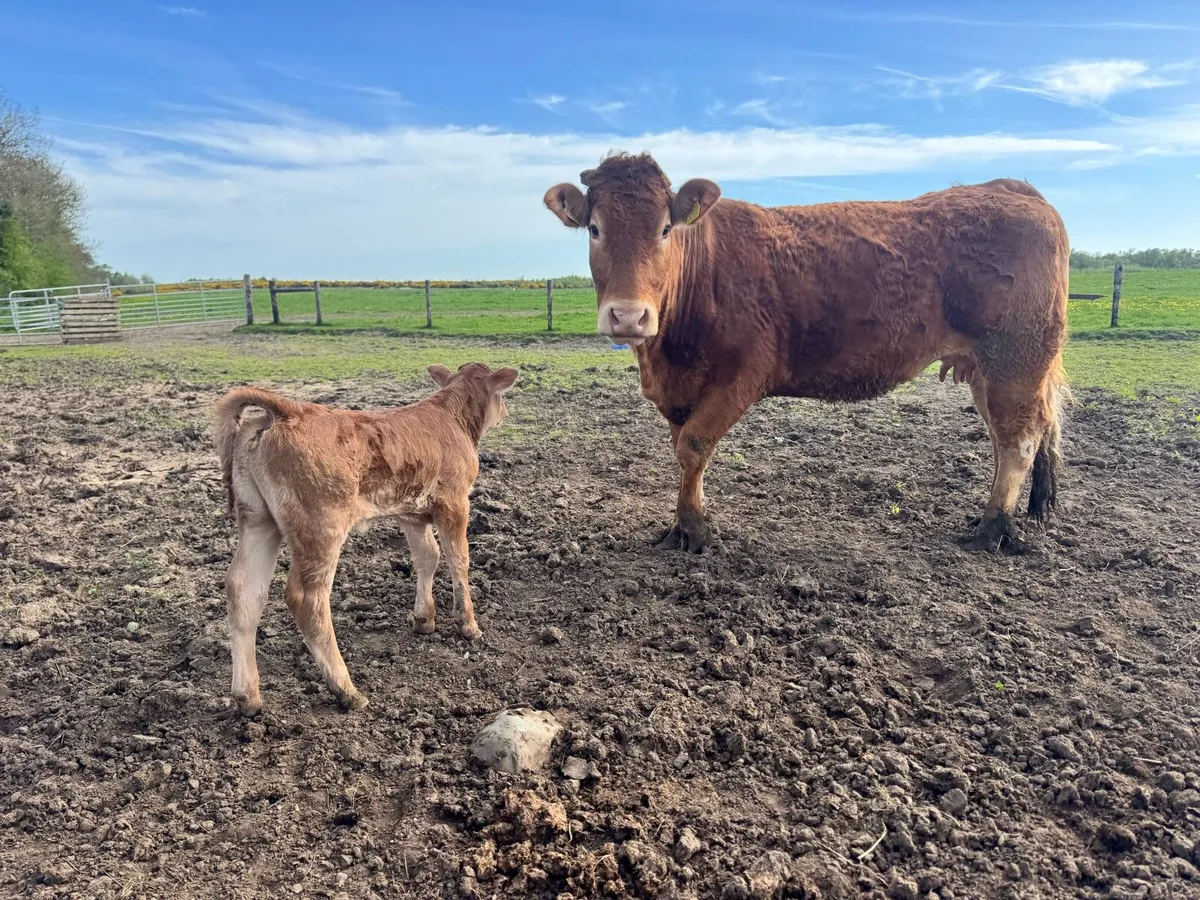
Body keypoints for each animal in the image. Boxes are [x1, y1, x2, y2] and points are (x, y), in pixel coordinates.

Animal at [213, 362, 519, 715]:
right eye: (500, 394)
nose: (505, 412)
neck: (451, 417)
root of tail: (290, 410)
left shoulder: (411, 513)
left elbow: (427, 556)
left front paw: (424, 619)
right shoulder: (455, 502)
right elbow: (459, 560)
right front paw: (468, 625)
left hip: (257, 519)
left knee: (244, 589)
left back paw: (247, 696)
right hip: (321, 526)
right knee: (307, 598)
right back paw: (346, 690)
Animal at [544, 152, 1068, 554]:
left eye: (666, 229)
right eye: (594, 229)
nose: (628, 316)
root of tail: (1011, 189)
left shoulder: (741, 375)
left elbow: (694, 445)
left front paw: (694, 530)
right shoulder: (679, 391)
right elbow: (684, 451)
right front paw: (683, 522)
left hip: (1016, 358)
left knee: (1019, 440)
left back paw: (993, 529)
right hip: (986, 369)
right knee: (1005, 437)